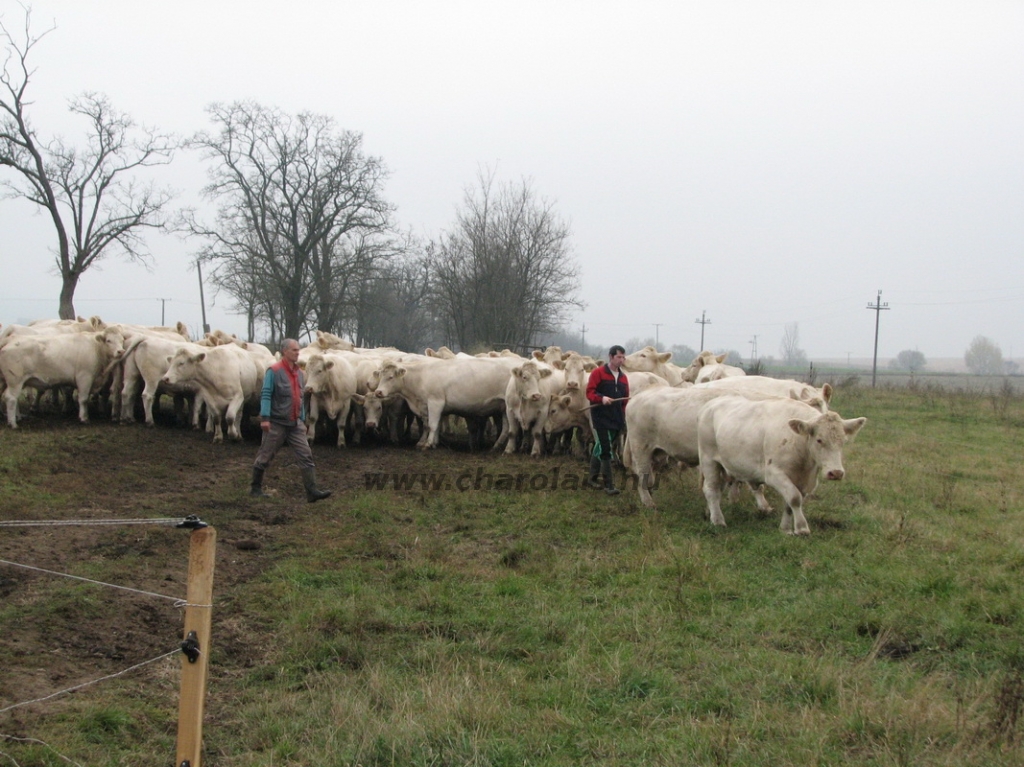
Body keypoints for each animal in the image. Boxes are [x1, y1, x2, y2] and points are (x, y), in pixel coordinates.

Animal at [696, 395, 864, 532]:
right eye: (819, 440)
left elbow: (790, 503)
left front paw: (785, 529)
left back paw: (709, 512)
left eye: (843, 441)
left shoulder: (803, 481)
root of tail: (711, 404)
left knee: (718, 489)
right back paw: (718, 520)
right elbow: (795, 498)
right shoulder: (774, 474)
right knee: (711, 489)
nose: (836, 473)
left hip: (724, 465)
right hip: (708, 459)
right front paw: (802, 528)